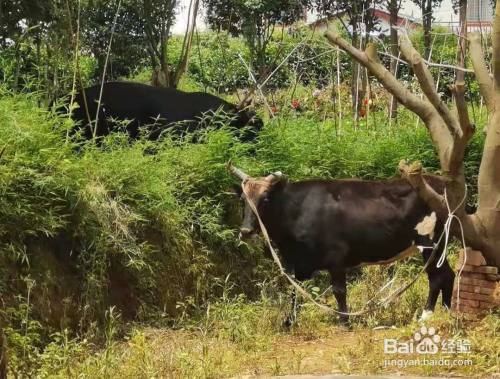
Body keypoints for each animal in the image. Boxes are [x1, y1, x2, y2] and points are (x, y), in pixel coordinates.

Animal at [229, 164, 456, 326]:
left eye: (265, 199)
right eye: (243, 200)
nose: (245, 231)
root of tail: (439, 183)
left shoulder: (336, 257)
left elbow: (339, 291)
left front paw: (344, 321)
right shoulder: (296, 264)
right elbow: (295, 292)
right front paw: (289, 321)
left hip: (430, 244)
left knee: (436, 277)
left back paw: (427, 314)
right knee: (448, 275)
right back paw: (447, 311)